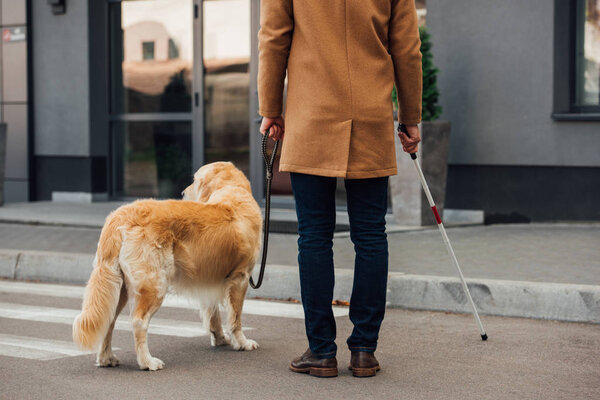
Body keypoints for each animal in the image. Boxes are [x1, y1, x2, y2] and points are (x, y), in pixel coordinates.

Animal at [71, 161, 262, 370]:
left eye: (195, 181)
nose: (182, 192)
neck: (231, 190)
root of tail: (119, 216)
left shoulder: (209, 279)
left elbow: (214, 314)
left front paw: (220, 338)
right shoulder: (240, 278)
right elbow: (236, 317)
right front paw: (242, 343)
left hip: (119, 286)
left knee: (109, 319)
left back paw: (106, 358)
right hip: (154, 284)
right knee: (138, 322)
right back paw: (147, 362)